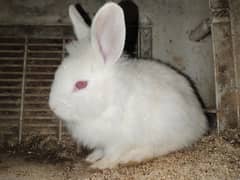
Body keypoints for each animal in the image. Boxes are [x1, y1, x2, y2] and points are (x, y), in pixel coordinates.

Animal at [48, 2, 206, 169]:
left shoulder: (118, 141)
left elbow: (112, 154)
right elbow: (100, 150)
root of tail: (201, 120)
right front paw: (92, 157)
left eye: (81, 84)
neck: (109, 101)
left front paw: (100, 165)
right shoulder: (103, 142)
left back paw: (133, 156)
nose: (52, 106)